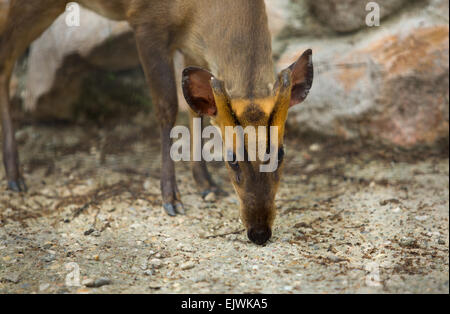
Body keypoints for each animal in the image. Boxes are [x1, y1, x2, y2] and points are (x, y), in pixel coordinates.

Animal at [0, 0, 312, 244]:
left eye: (281, 153)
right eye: (231, 159)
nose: (259, 232)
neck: (199, 10)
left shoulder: (192, 45)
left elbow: (196, 112)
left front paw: (207, 185)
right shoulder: (145, 21)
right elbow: (167, 107)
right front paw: (171, 198)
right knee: (6, 59)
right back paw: (15, 176)